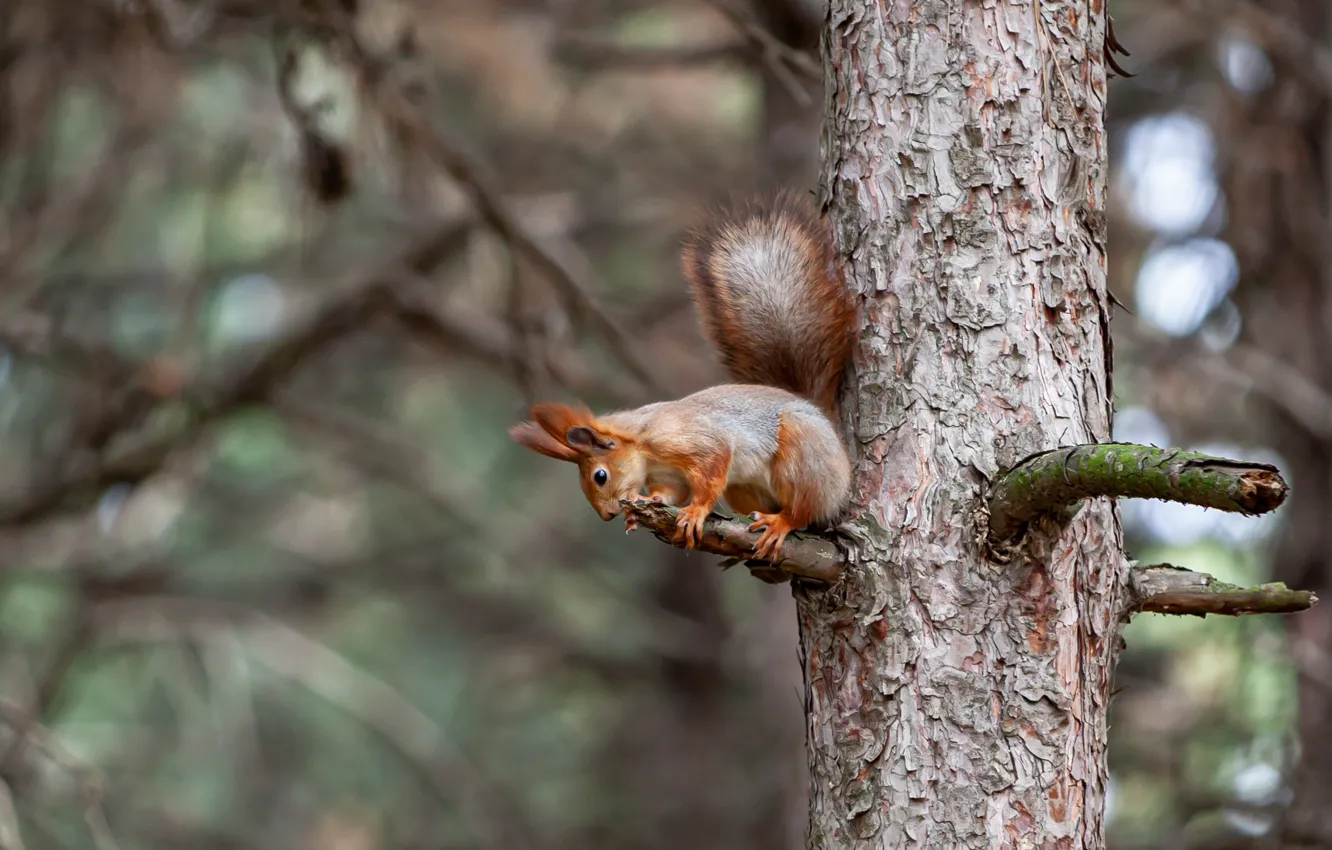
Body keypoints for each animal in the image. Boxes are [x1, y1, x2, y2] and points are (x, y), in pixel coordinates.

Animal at [503, 195, 857, 562]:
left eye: (600, 476)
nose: (608, 515)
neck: (644, 447)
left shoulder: (691, 440)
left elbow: (712, 469)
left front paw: (696, 512)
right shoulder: (667, 475)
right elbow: (670, 492)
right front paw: (645, 506)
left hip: (805, 453)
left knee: (804, 510)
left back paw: (781, 523)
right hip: (744, 489)